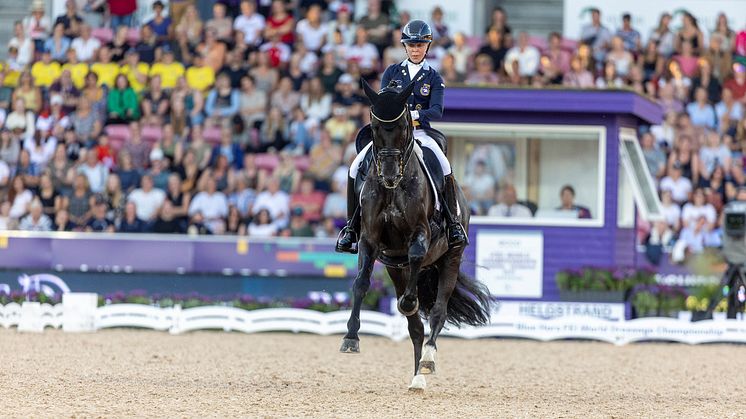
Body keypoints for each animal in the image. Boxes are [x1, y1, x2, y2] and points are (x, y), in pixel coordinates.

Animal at [338, 80, 492, 392]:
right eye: (375, 126)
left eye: (402, 126)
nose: (388, 176)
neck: (392, 190)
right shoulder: (370, 241)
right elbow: (360, 284)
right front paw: (350, 338)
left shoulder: (420, 235)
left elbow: (417, 260)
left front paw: (410, 303)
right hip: (396, 268)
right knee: (415, 327)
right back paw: (417, 377)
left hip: (450, 258)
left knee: (438, 312)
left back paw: (428, 361)